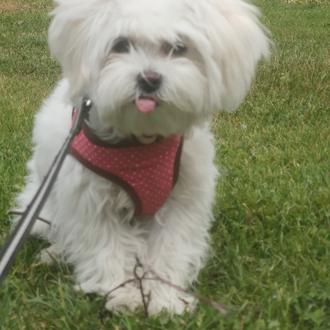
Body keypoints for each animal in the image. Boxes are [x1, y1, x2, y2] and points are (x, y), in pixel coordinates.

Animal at [14, 0, 270, 314]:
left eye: (178, 47)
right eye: (121, 44)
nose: (149, 79)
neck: (142, 138)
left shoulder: (182, 199)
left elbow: (170, 248)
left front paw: (164, 298)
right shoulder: (90, 199)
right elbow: (106, 248)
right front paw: (123, 293)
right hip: (45, 206)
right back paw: (55, 253)